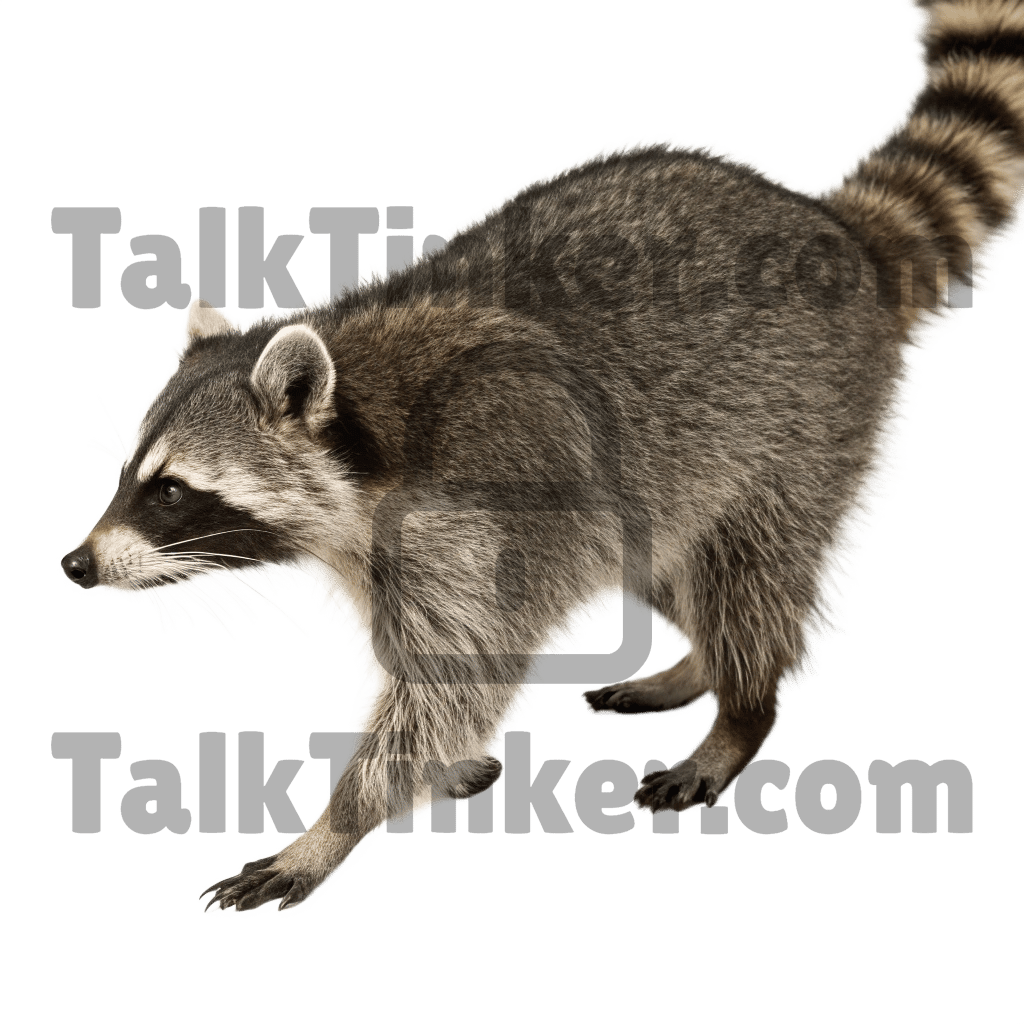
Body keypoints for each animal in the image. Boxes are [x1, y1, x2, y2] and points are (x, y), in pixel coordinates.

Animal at [60, 0, 1023, 915]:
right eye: (127, 478)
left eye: (171, 492)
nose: (76, 563)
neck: (363, 444)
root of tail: (830, 226)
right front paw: (429, 777)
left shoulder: (477, 512)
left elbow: (453, 681)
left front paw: (333, 826)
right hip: (672, 474)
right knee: (679, 564)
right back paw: (701, 668)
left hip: (793, 427)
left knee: (747, 571)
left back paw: (741, 710)